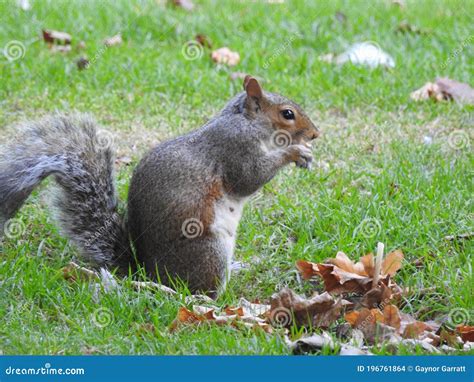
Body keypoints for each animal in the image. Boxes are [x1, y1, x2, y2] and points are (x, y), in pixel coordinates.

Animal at [0, 76, 320, 296]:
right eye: (287, 114)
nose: (316, 135)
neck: (248, 123)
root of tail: (148, 274)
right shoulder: (234, 148)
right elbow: (248, 177)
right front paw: (295, 152)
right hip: (208, 250)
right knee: (200, 292)